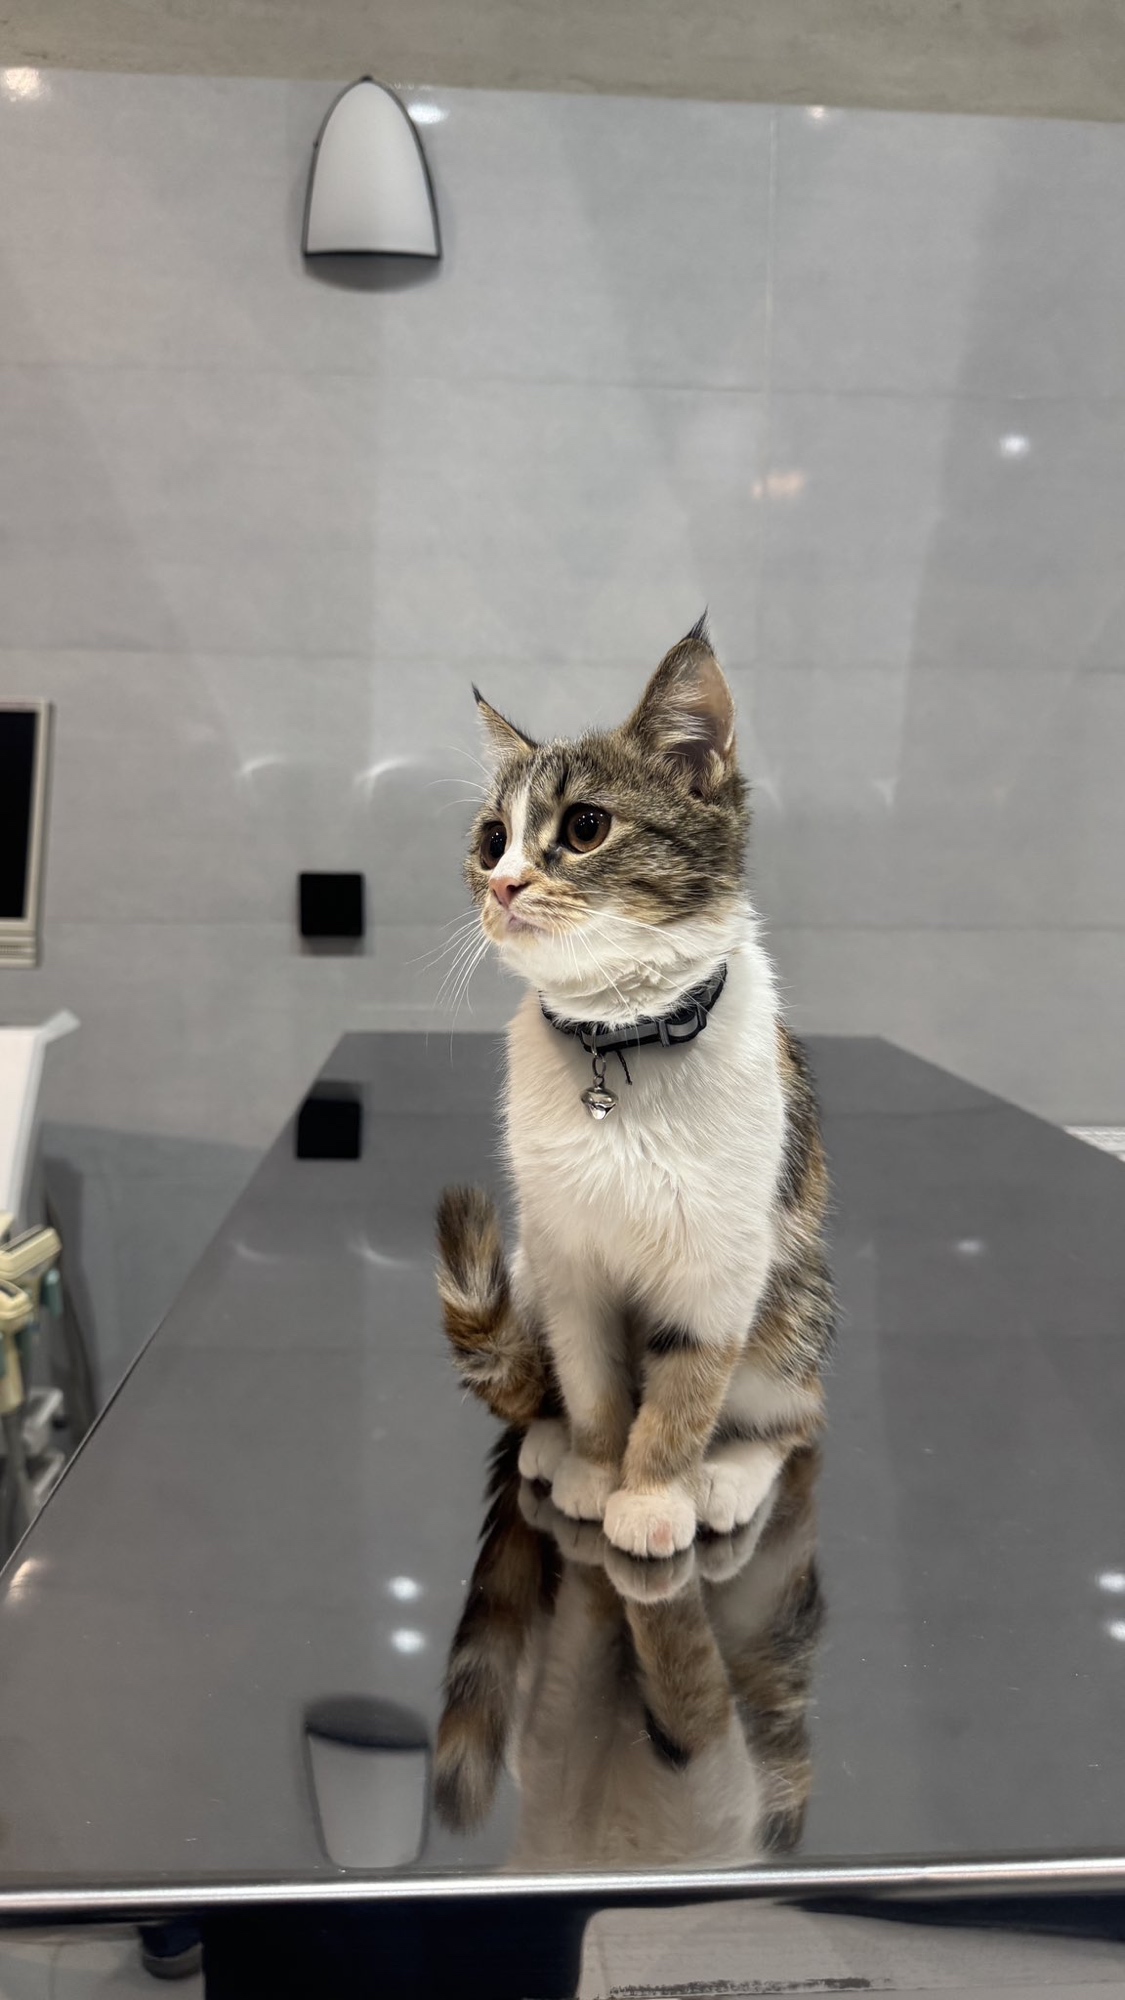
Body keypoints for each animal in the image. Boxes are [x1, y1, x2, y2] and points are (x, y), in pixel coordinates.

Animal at [436, 620, 833, 1559]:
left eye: (585, 826)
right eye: (490, 839)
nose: (502, 884)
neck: (618, 1040)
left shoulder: (720, 1262)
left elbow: (685, 1387)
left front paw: (652, 1494)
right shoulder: (565, 1254)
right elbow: (590, 1378)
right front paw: (593, 1465)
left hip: (791, 1305)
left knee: (796, 1415)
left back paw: (727, 1476)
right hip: (524, 1267)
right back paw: (548, 1443)